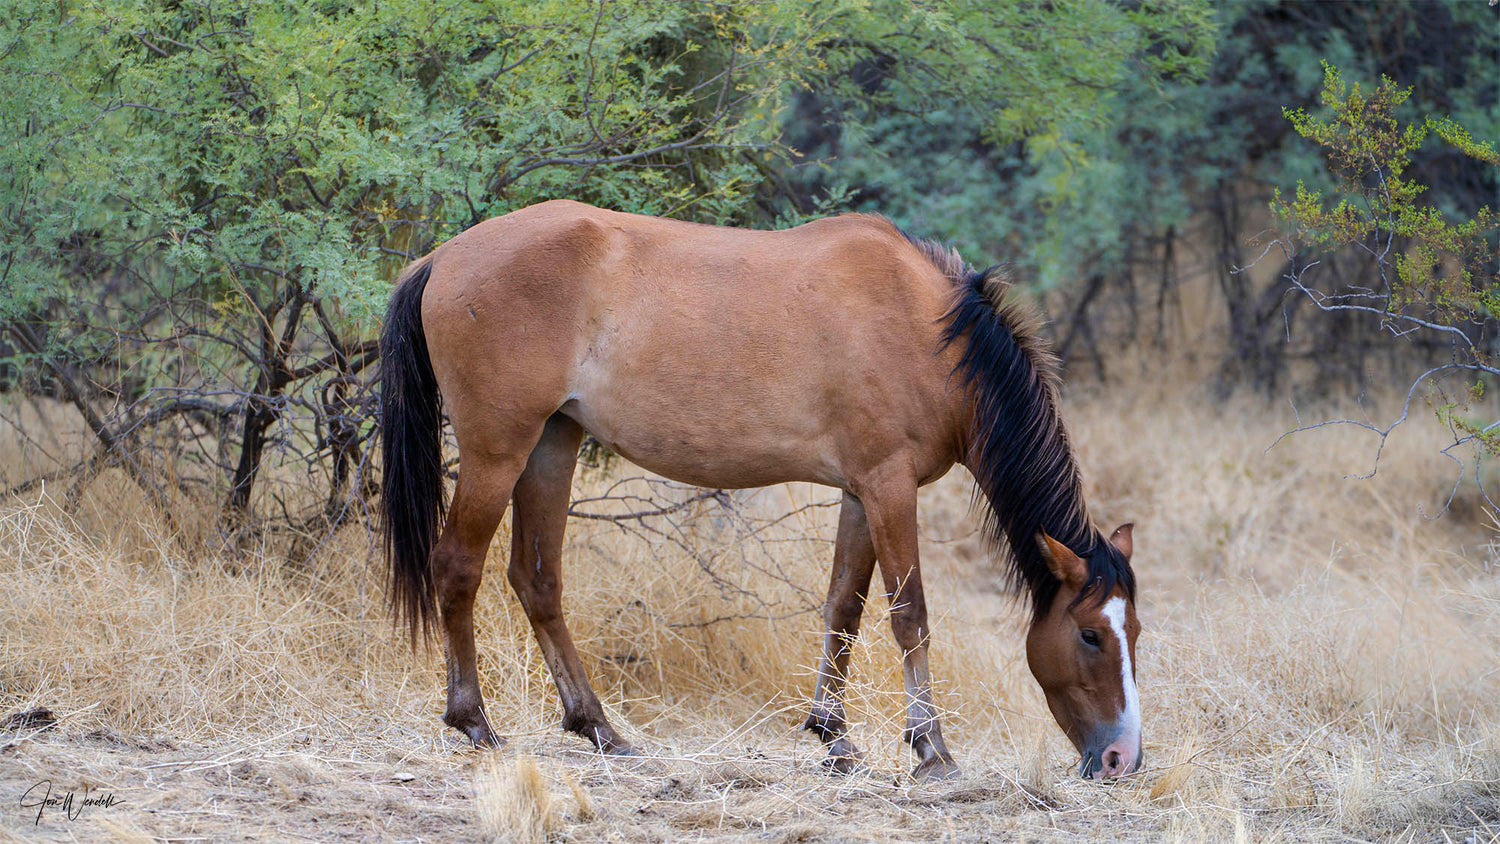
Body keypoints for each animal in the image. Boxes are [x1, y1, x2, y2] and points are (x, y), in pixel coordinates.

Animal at [381, 200, 1140, 785]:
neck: (930, 335)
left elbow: (843, 609)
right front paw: (931, 749)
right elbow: (910, 615)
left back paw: (600, 729)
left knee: (537, 580)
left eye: (1135, 630)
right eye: (1091, 634)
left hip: (551, 444)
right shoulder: (890, 487)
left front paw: (834, 737)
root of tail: (442, 258)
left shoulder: (862, 494)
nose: (1122, 759)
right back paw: (475, 723)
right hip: (497, 450)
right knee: (458, 567)